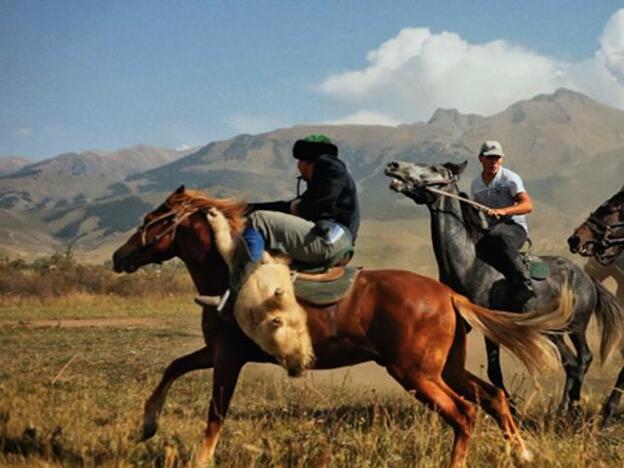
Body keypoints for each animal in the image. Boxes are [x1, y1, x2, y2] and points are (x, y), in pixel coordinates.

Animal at [112, 185, 572, 466]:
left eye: (151, 220)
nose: (119, 256)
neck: (229, 271)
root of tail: (447, 295)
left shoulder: (227, 358)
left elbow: (215, 414)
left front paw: (200, 457)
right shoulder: (218, 352)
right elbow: (173, 367)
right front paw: (146, 427)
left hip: (414, 373)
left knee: (463, 414)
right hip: (446, 368)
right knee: (493, 397)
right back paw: (522, 453)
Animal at [386, 161, 624, 424]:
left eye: (434, 168)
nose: (394, 166)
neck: (469, 263)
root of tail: (586, 278)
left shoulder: (488, 327)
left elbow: (494, 372)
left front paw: (511, 411)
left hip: (576, 326)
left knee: (582, 359)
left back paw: (570, 409)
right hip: (554, 330)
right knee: (571, 363)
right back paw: (567, 409)